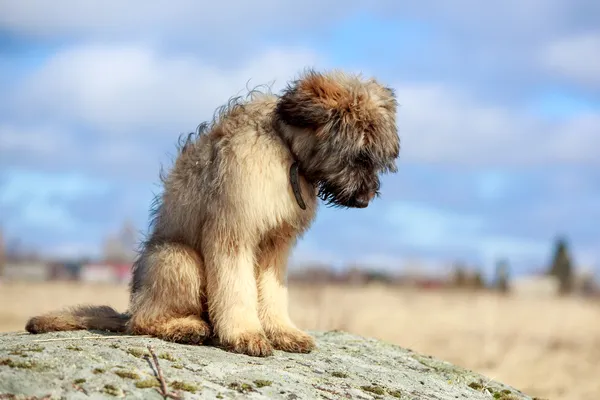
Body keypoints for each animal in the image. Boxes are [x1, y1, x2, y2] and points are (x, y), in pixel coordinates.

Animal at [29, 69, 404, 356]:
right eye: (359, 155)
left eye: (376, 159)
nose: (366, 199)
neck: (286, 151)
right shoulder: (232, 229)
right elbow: (236, 288)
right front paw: (245, 335)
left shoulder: (275, 244)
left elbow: (271, 291)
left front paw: (282, 332)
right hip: (176, 258)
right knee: (142, 321)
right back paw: (187, 327)